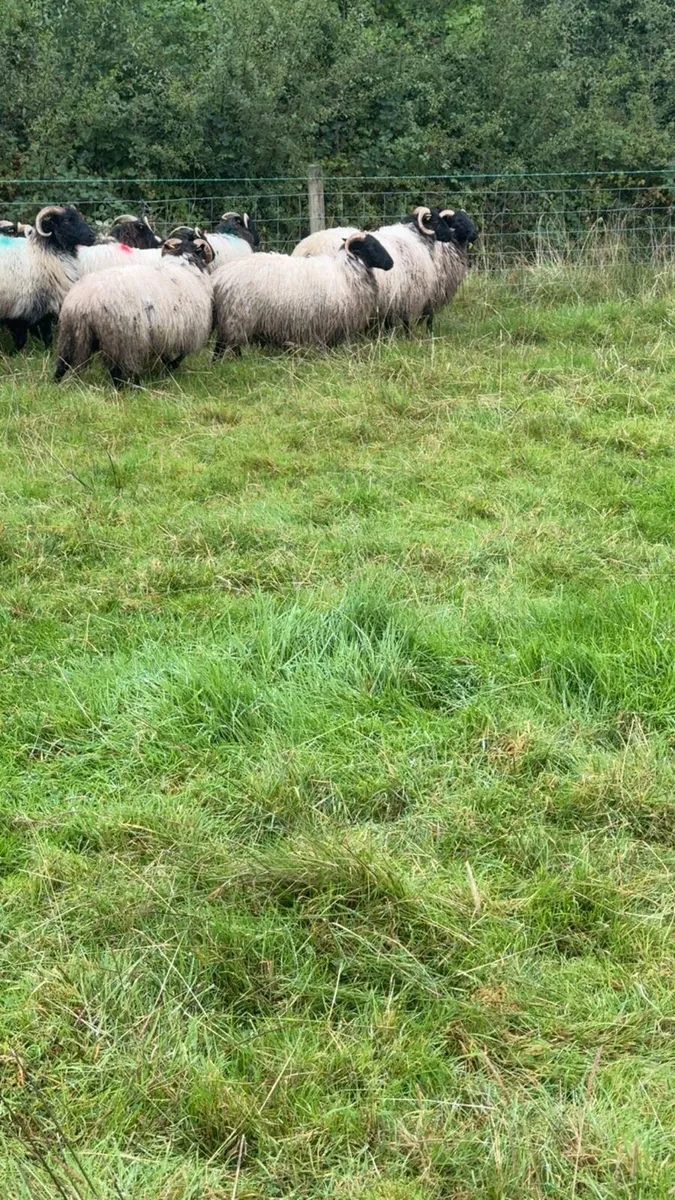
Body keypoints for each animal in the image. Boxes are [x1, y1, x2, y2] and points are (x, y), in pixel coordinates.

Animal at [0, 205, 96, 353]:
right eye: (66, 221)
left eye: (80, 218)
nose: (92, 236)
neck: (43, 253)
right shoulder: (21, 308)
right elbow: (23, 338)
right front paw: (13, 354)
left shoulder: (43, 306)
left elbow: (45, 335)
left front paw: (46, 352)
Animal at [55, 235, 215, 386]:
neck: (184, 266)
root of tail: (85, 300)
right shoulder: (188, 331)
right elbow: (182, 355)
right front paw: (171, 366)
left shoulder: (164, 333)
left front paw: (167, 367)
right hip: (122, 340)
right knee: (116, 370)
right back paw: (130, 387)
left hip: (70, 334)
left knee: (62, 364)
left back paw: (55, 385)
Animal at [211, 231, 393, 355]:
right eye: (370, 246)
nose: (391, 263)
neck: (346, 273)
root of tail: (219, 277)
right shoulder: (330, 323)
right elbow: (328, 346)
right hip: (235, 317)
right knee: (222, 346)